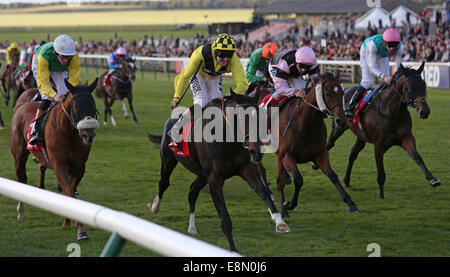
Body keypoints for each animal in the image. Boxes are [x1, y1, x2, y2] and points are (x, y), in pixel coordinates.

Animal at [9, 78, 99, 239]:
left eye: (93, 106)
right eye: (75, 107)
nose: (88, 135)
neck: (69, 133)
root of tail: (21, 105)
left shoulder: (79, 167)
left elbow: (71, 192)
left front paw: (67, 221)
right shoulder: (59, 165)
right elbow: (70, 193)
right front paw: (81, 230)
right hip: (19, 157)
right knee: (21, 179)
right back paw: (20, 211)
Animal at [146, 90, 290, 252]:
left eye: (261, 117)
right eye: (242, 118)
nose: (257, 152)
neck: (228, 140)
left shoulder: (247, 168)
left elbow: (263, 191)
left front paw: (280, 222)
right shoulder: (214, 178)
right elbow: (225, 218)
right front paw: (233, 250)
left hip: (202, 175)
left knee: (192, 191)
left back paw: (192, 227)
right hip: (168, 161)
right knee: (164, 182)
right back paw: (155, 207)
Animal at [250, 71, 358, 218]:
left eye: (342, 92)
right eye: (327, 94)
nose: (341, 120)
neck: (306, 122)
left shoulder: (320, 154)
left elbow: (333, 175)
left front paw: (350, 203)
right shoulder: (287, 156)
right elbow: (298, 179)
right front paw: (289, 204)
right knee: (266, 171)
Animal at [326, 62, 442, 198]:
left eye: (423, 85)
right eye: (409, 87)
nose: (425, 111)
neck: (392, 112)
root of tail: (344, 90)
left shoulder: (406, 138)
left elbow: (418, 158)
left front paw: (433, 179)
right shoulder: (379, 144)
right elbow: (381, 173)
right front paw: (381, 196)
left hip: (361, 136)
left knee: (353, 154)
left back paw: (347, 180)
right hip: (338, 127)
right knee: (329, 144)